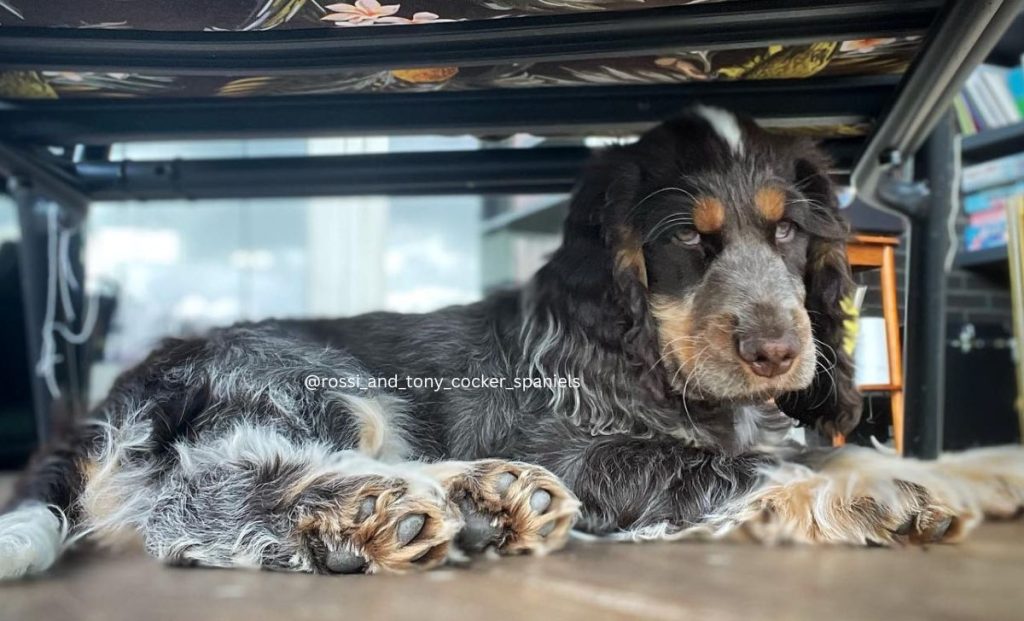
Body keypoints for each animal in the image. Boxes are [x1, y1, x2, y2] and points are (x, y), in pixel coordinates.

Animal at [2, 106, 1024, 577]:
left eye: (787, 232)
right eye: (686, 241)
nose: (779, 352)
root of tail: (114, 395)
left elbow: (835, 443)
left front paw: (978, 469)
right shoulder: (589, 450)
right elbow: (756, 466)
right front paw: (879, 494)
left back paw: (487, 500)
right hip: (317, 384)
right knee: (196, 503)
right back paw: (368, 510)